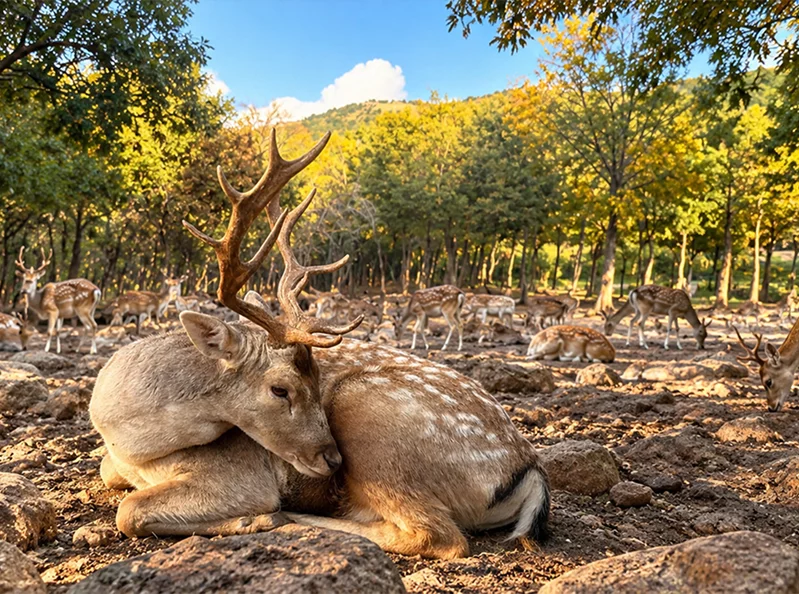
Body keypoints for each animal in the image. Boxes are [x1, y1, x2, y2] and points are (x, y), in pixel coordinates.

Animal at [90, 131, 549, 559]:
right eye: (281, 389)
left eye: (314, 379)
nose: (332, 462)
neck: (128, 440)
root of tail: (528, 470)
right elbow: (109, 476)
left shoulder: (240, 475)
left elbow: (128, 510)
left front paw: (251, 518)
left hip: (367, 417)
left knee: (439, 535)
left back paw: (291, 517)